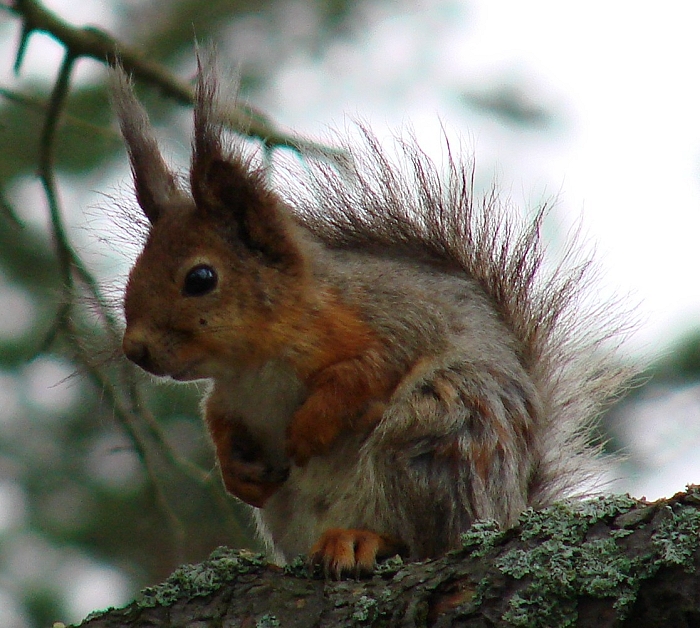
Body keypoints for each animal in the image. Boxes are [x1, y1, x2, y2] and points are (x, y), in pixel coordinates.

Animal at [112, 56, 632, 576]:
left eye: (200, 278)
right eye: (134, 270)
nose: (134, 349)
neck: (254, 363)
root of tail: (506, 510)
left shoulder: (398, 320)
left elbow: (365, 374)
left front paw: (309, 428)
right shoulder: (231, 395)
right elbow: (215, 415)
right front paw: (236, 471)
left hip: (438, 434)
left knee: (423, 538)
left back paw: (362, 538)